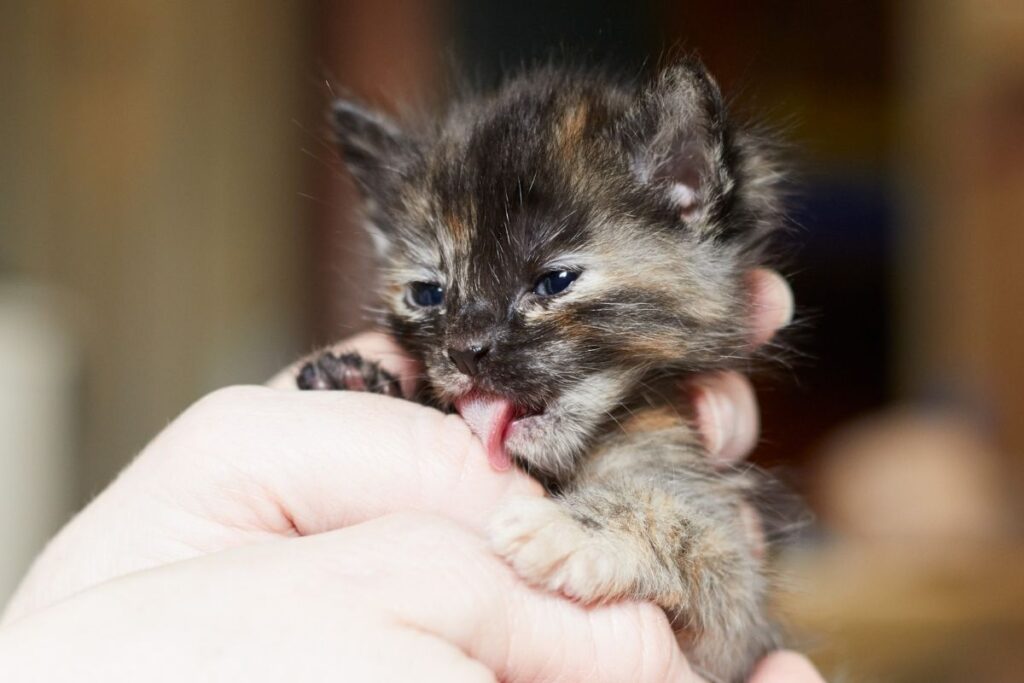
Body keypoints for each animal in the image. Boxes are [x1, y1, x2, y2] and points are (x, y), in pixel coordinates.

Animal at [299, 60, 786, 683]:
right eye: (428, 293)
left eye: (554, 282)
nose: (466, 349)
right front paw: (353, 382)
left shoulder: (735, 618)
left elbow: (682, 528)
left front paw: (572, 530)